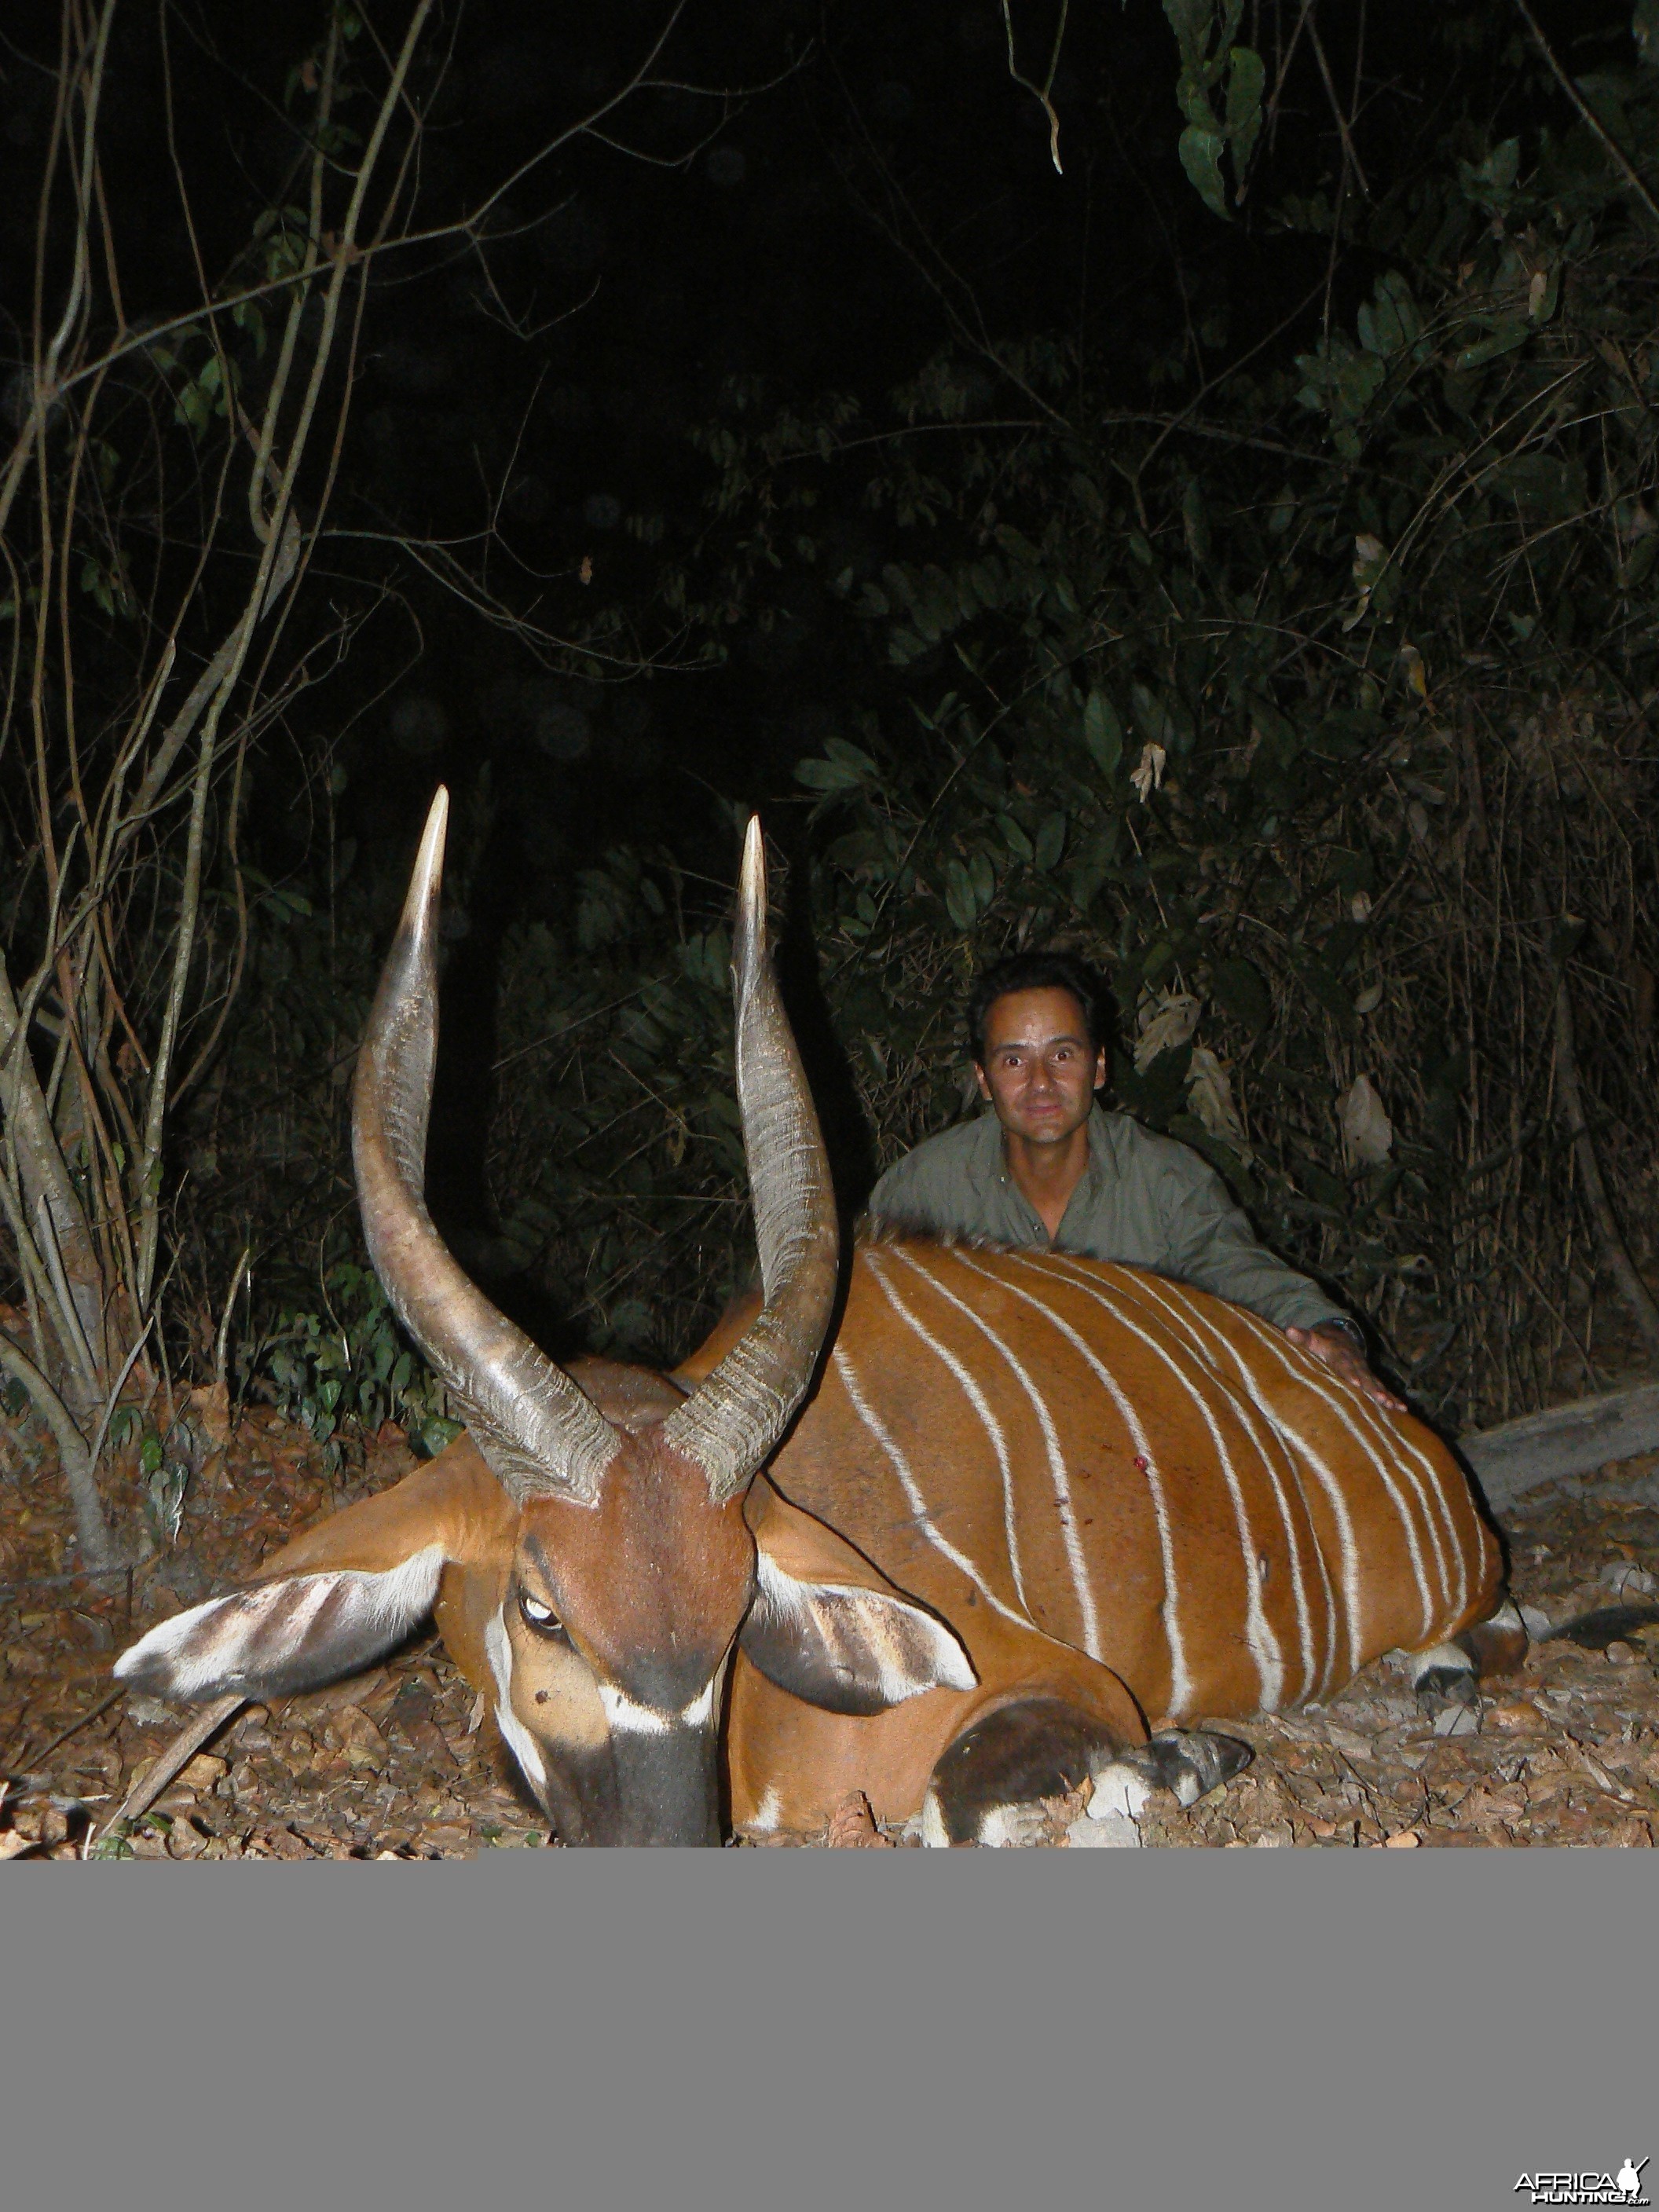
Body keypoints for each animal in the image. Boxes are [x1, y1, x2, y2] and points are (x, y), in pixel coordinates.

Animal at [110, 787, 1530, 1840]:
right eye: (541, 1608)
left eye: (742, 1601)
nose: (671, 1844)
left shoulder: (1040, 1685)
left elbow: (995, 1794)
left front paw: (1190, 1758)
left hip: (1451, 1584)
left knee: (1497, 1626)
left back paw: (1442, 1680)